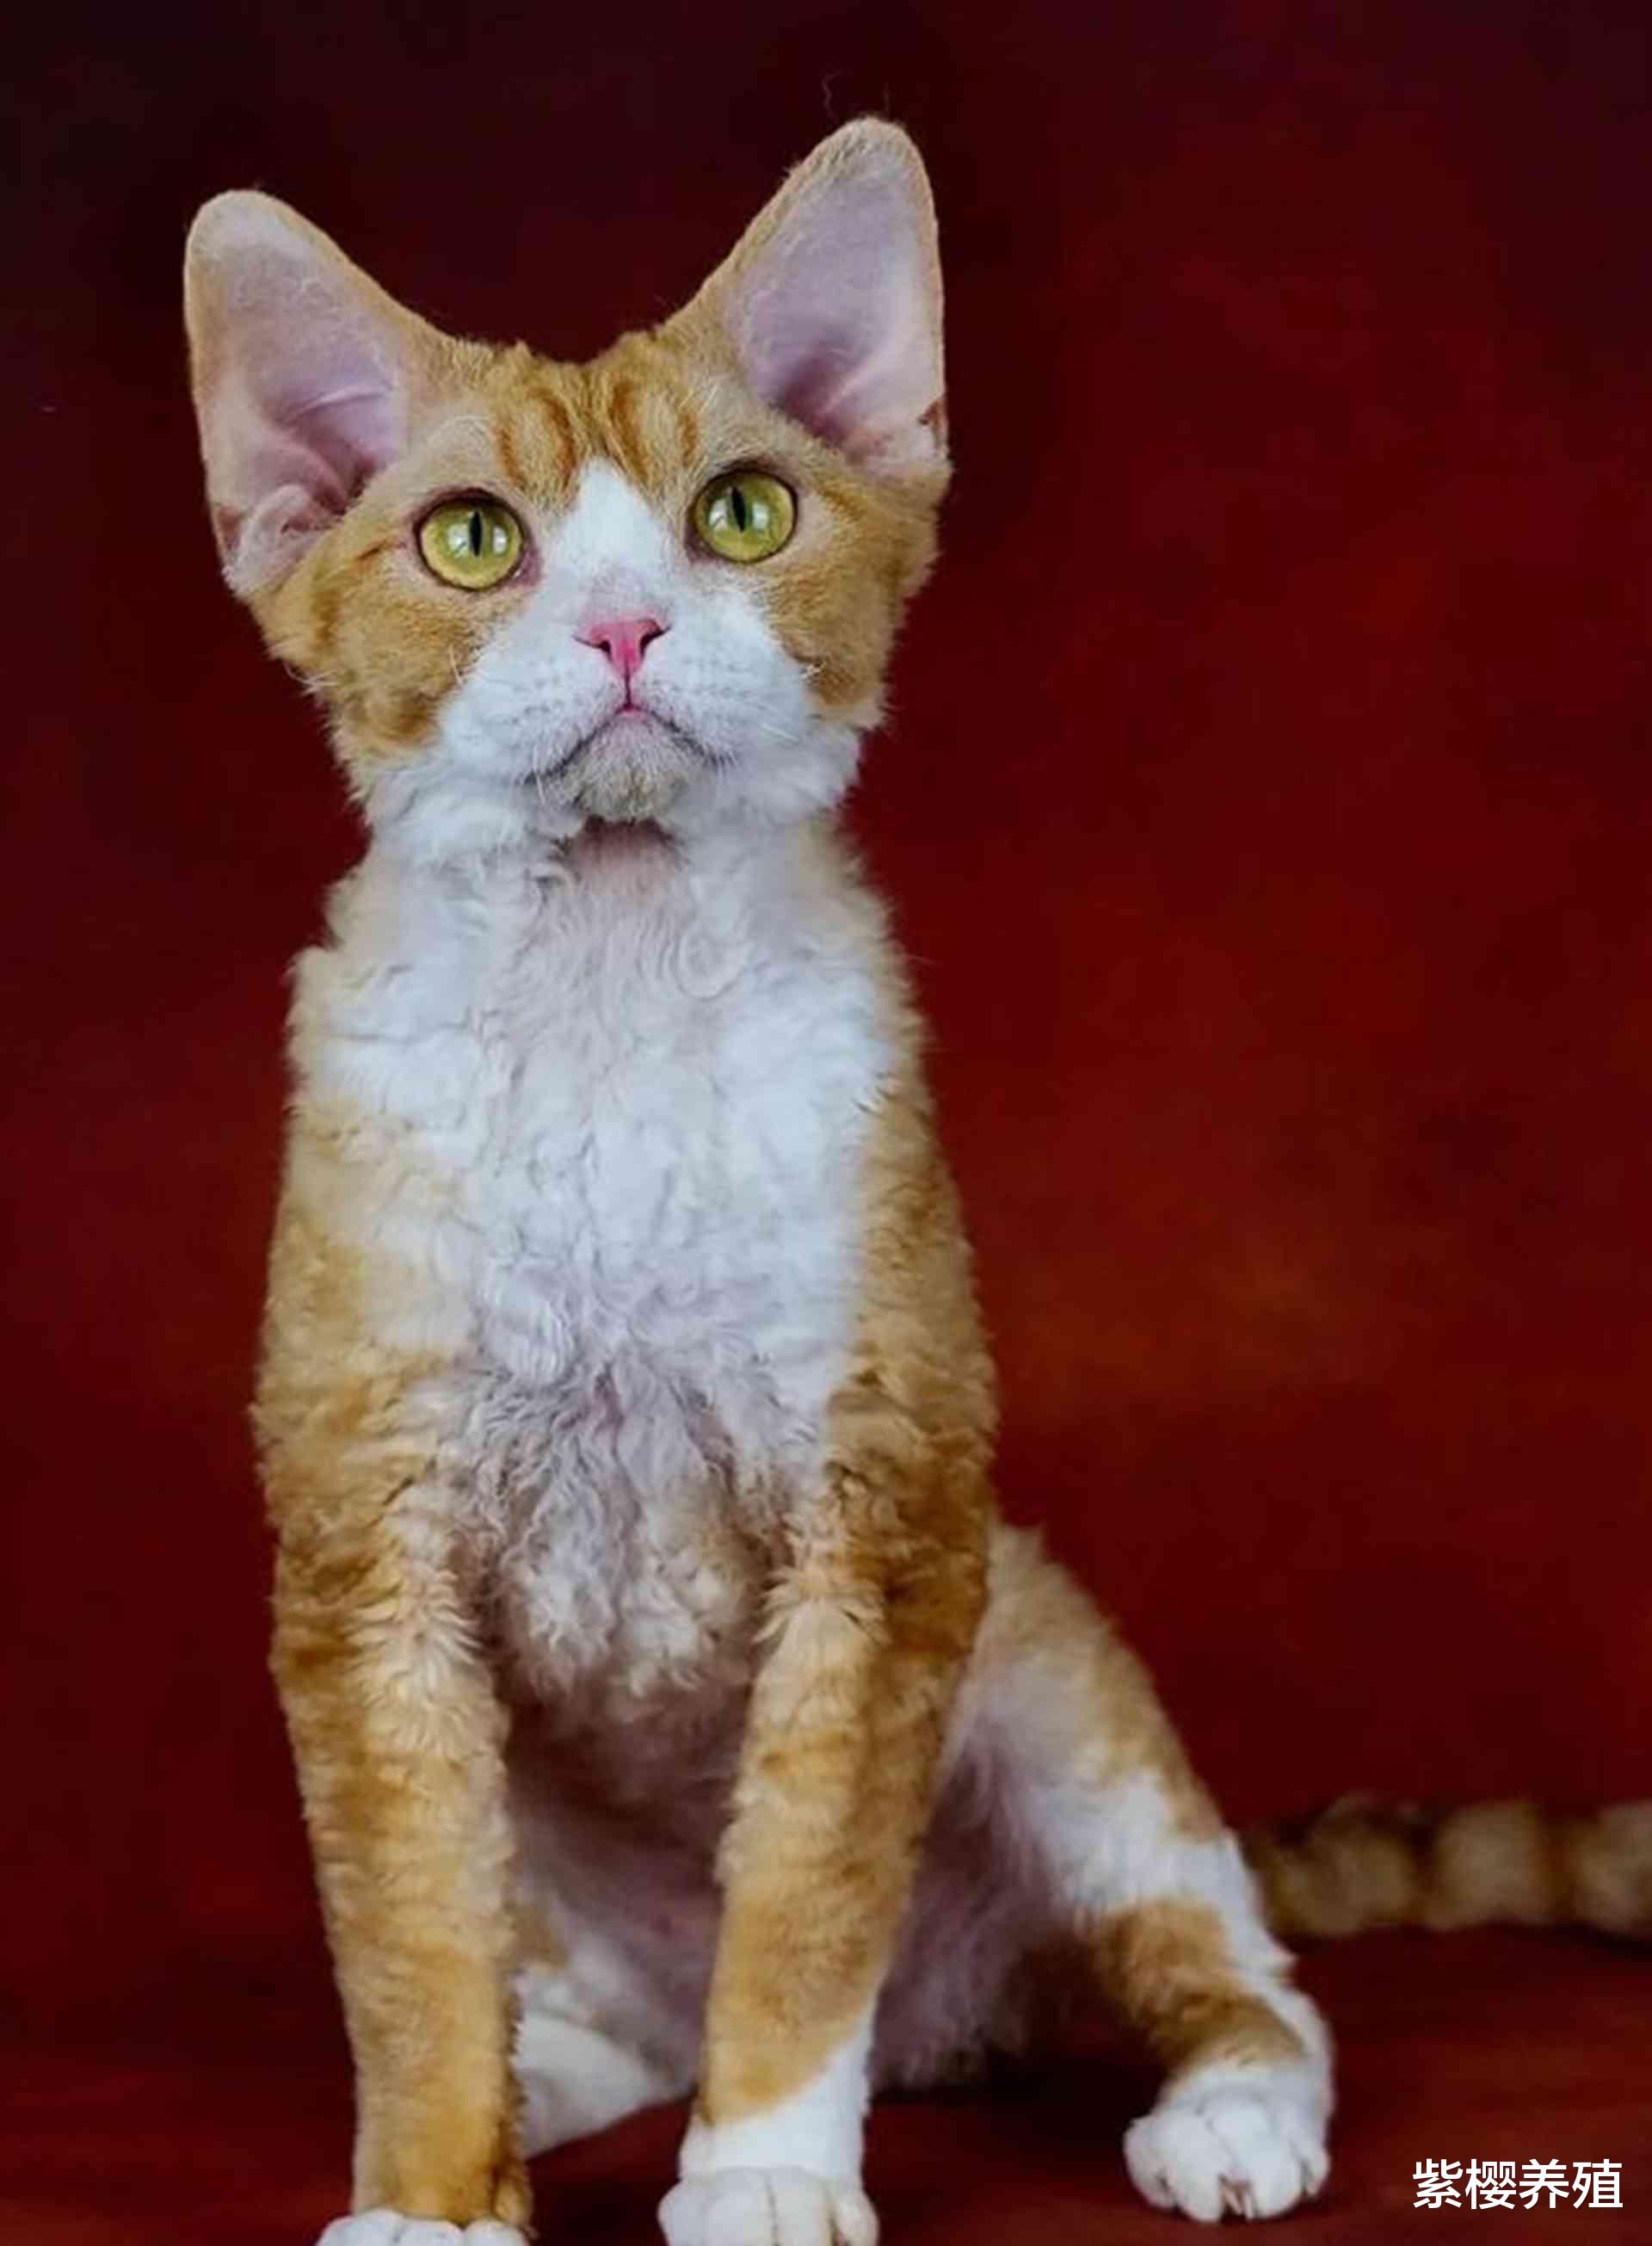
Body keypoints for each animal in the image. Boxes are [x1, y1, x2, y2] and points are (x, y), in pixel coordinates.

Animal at [183, 121, 1648, 2246]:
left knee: (1242, 1971)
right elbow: (411, 1947)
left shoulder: (884, 1527)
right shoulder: (372, 1566)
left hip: (1040, 1671)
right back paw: (570, 2077)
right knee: (593, 1991)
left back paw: (1226, 2113)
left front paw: (768, 2172)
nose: (624, 630)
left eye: (743, 512)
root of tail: (967, 2023)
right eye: (472, 542)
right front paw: (437, 2197)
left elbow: (801, 1910)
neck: (613, 993)